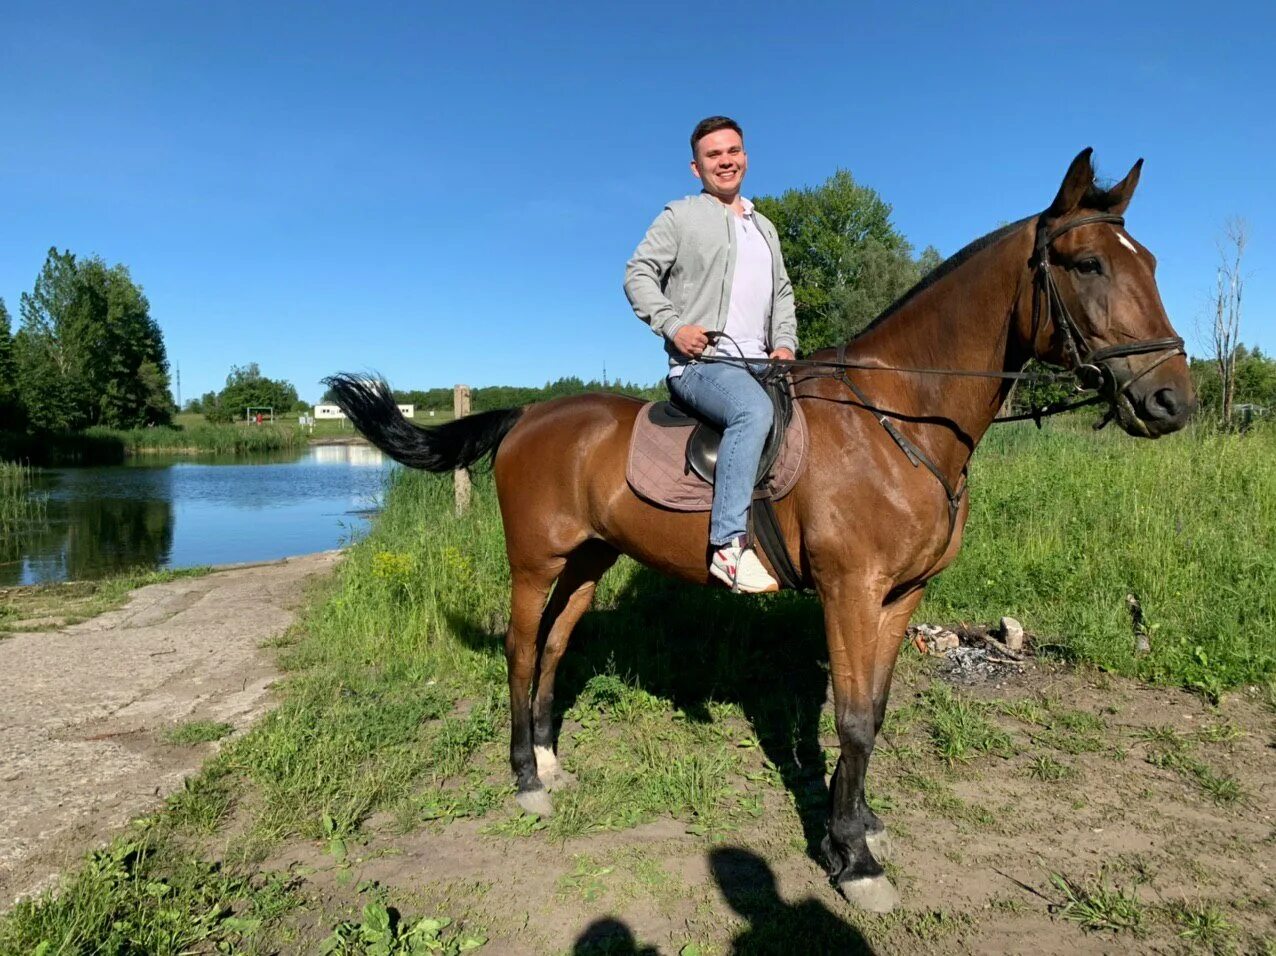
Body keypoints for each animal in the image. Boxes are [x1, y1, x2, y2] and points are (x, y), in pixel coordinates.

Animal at [324, 149, 1189, 908]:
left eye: (1150, 263)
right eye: (1087, 264)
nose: (1170, 399)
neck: (897, 416)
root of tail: (529, 414)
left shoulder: (901, 596)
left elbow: (875, 713)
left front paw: (859, 824)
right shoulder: (849, 591)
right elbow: (853, 718)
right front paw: (853, 861)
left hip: (588, 561)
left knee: (556, 646)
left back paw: (548, 759)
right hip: (535, 562)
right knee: (519, 648)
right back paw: (526, 781)